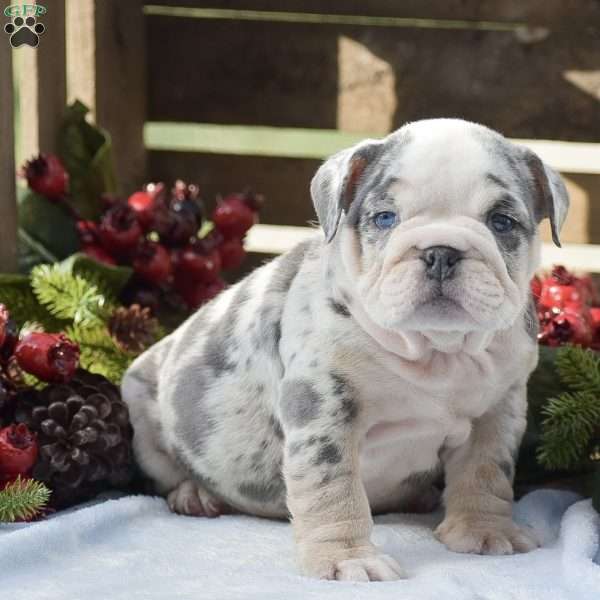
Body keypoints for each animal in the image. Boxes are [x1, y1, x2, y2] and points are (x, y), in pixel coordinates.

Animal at [120, 117, 568, 580]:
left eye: (501, 222)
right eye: (385, 218)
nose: (440, 252)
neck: (435, 350)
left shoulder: (497, 412)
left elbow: (486, 472)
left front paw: (484, 530)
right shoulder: (324, 411)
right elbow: (332, 488)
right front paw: (347, 559)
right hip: (143, 411)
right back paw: (194, 495)